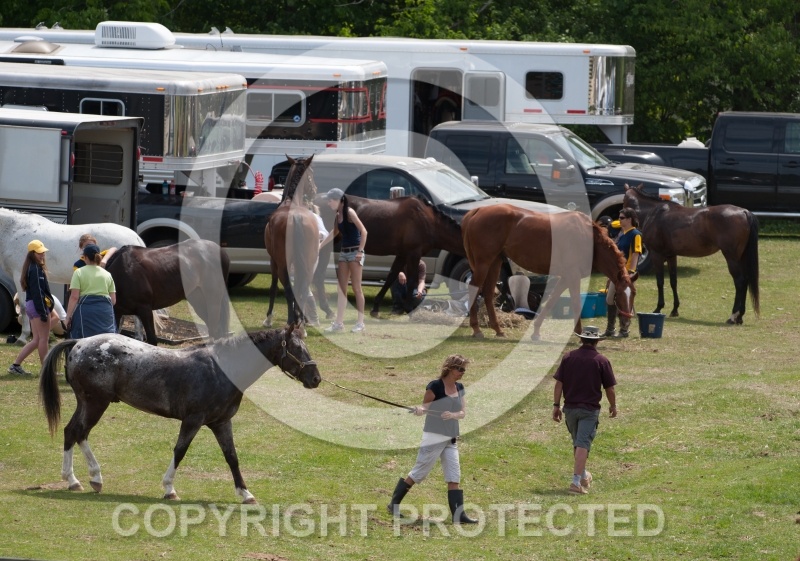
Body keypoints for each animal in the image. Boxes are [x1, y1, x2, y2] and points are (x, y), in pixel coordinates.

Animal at [39, 326, 321, 504]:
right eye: (296, 348)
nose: (316, 378)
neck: (220, 369)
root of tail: (79, 343)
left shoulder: (221, 423)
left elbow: (232, 457)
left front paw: (245, 493)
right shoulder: (193, 420)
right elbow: (180, 451)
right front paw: (169, 489)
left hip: (89, 403)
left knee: (72, 432)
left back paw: (81, 479)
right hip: (96, 403)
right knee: (78, 432)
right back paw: (85, 479)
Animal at [263, 155, 321, 329]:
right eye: (312, 172)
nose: (314, 189)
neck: (291, 202)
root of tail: (296, 217)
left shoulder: (273, 261)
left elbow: (274, 287)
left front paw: (268, 319)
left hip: (283, 263)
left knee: (289, 289)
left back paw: (291, 321)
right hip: (308, 261)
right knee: (302, 288)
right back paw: (300, 321)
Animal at [461, 204, 635, 340]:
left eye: (633, 294)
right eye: (619, 294)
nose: (627, 321)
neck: (588, 239)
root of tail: (477, 210)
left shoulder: (565, 277)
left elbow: (551, 300)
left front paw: (536, 331)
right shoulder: (573, 276)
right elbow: (576, 303)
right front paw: (579, 333)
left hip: (495, 261)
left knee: (488, 292)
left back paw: (498, 330)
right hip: (484, 263)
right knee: (474, 288)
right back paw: (476, 329)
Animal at [623, 183, 760, 323]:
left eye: (623, 201)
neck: (653, 213)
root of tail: (744, 212)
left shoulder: (657, 255)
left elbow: (660, 282)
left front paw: (658, 308)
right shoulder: (671, 255)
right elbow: (673, 281)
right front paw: (675, 309)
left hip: (731, 258)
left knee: (740, 281)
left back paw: (733, 316)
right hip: (741, 257)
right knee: (746, 280)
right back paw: (740, 316)